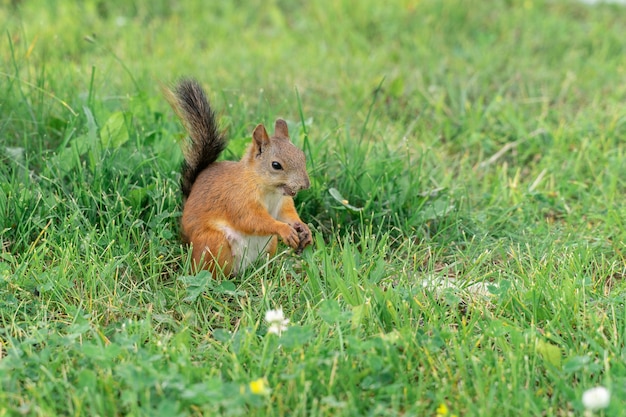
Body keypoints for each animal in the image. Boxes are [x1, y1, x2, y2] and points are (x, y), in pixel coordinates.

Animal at [165, 78, 312, 274]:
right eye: (276, 165)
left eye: (302, 156)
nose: (305, 184)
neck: (269, 190)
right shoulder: (237, 198)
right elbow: (251, 219)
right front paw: (283, 229)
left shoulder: (283, 202)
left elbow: (287, 214)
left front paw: (303, 227)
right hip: (214, 243)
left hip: (269, 245)